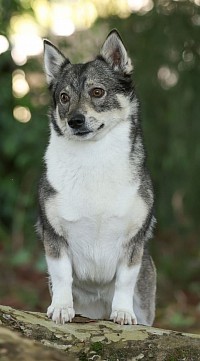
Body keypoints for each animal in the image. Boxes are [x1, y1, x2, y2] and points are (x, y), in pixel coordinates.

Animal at [37, 29, 156, 324]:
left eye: (97, 92)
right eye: (64, 98)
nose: (75, 121)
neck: (93, 158)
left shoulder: (133, 243)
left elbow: (125, 280)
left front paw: (122, 312)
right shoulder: (54, 238)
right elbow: (61, 276)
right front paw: (61, 307)